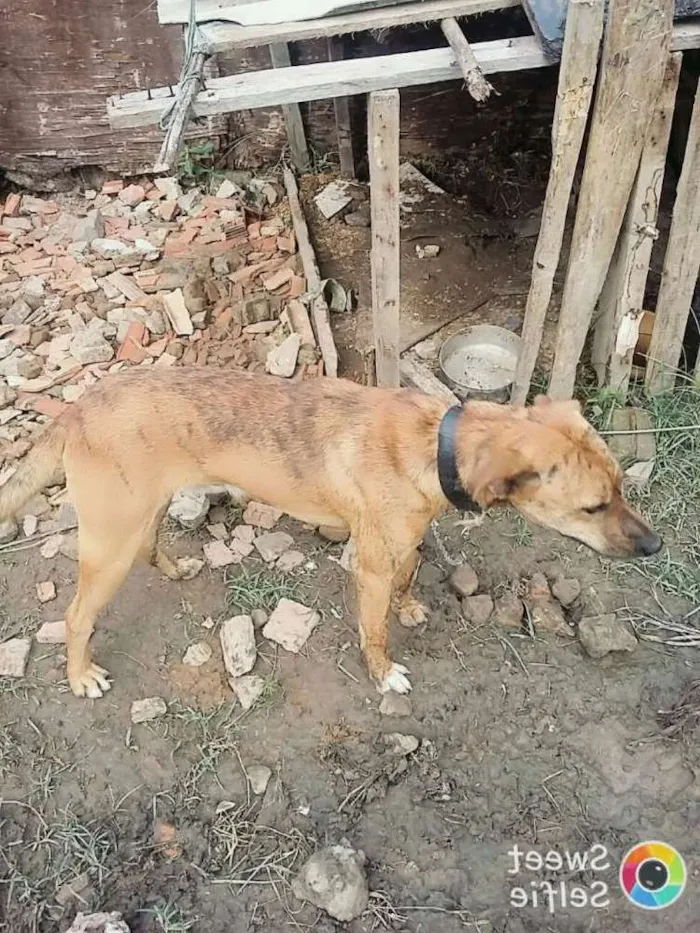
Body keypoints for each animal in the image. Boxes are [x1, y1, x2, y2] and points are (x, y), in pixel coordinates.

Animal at [0, 370, 660, 700]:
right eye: (593, 506)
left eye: (620, 487)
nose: (655, 548)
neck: (437, 445)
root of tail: (77, 409)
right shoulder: (369, 562)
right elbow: (374, 629)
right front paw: (384, 671)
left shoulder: (403, 540)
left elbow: (410, 572)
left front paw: (410, 604)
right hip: (107, 544)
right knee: (77, 614)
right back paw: (80, 676)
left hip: (144, 512)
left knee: (149, 544)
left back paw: (175, 568)